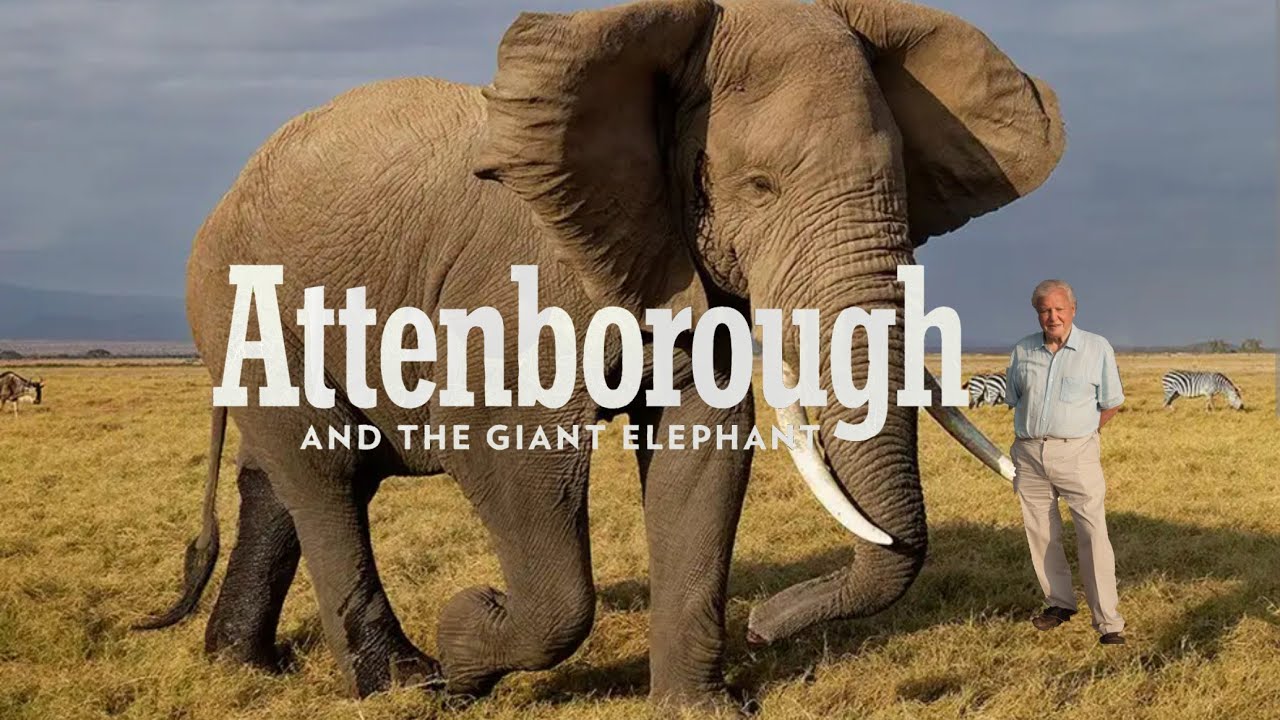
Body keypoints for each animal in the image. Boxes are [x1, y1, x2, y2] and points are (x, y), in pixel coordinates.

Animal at [138, 0, 1063, 710]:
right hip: (234, 298)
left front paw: (700, 711)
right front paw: (465, 639)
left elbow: (703, 447)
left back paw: (244, 665)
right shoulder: (519, 283)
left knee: (285, 478)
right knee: (324, 474)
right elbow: (512, 456)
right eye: (757, 187)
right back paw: (400, 683)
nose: (765, 627)